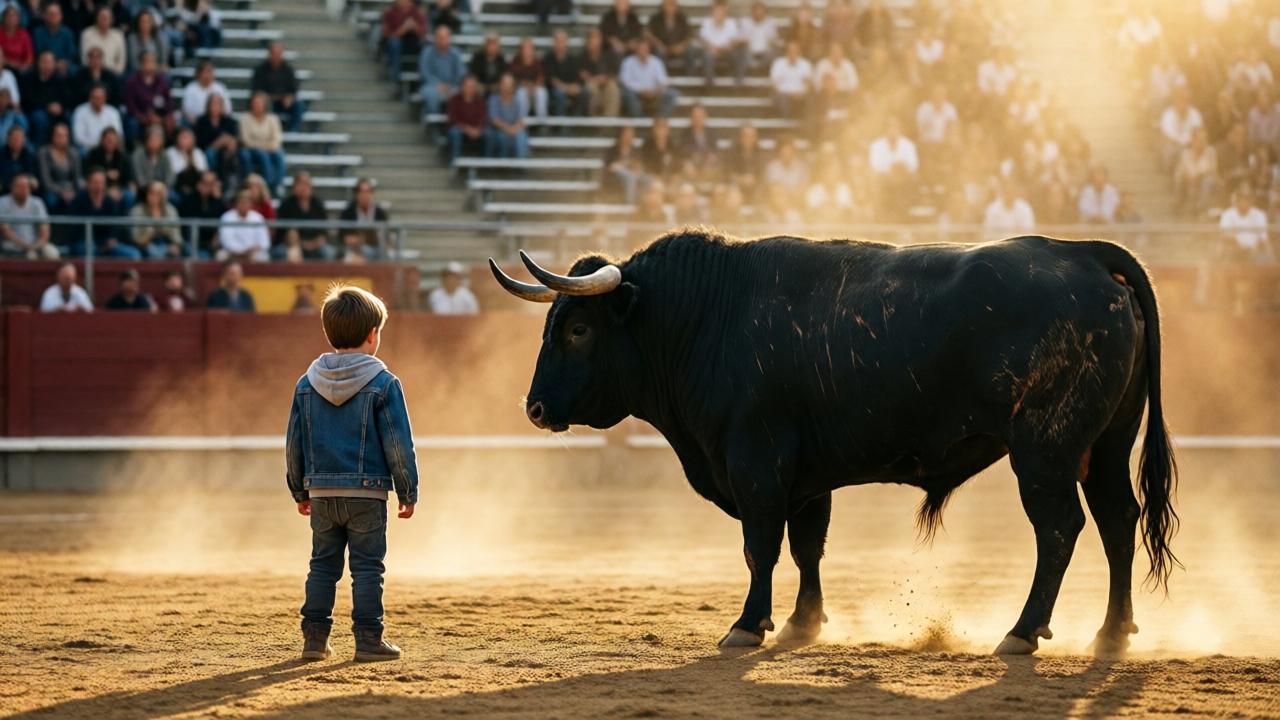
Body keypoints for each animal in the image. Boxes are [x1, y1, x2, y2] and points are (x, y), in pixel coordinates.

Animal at [490, 231, 1178, 656]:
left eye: (578, 329)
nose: (535, 408)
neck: (706, 314)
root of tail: (1084, 256)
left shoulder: (757, 465)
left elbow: (761, 548)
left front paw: (748, 625)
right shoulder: (805, 475)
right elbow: (808, 547)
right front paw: (804, 623)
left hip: (1045, 452)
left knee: (1060, 530)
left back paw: (1023, 632)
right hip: (1106, 447)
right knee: (1118, 521)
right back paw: (1112, 633)